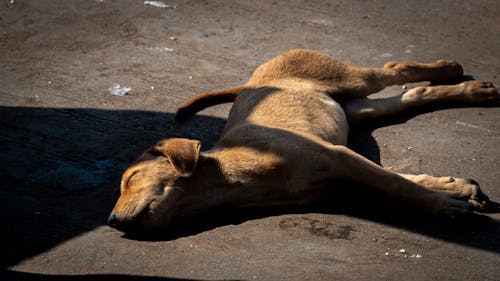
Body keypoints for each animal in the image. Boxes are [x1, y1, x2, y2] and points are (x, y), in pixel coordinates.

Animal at [107, 49, 498, 232]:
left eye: (131, 179)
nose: (110, 222)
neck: (232, 176)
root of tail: (252, 77)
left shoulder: (339, 156)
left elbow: (398, 184)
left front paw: (446, 206)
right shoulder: (341, 179)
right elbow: (399, 182)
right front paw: (455, 189)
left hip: (351, 78)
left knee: (395, 69)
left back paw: (450, 69)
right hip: (355, 109)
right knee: (412, 95)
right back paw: (471, 91)